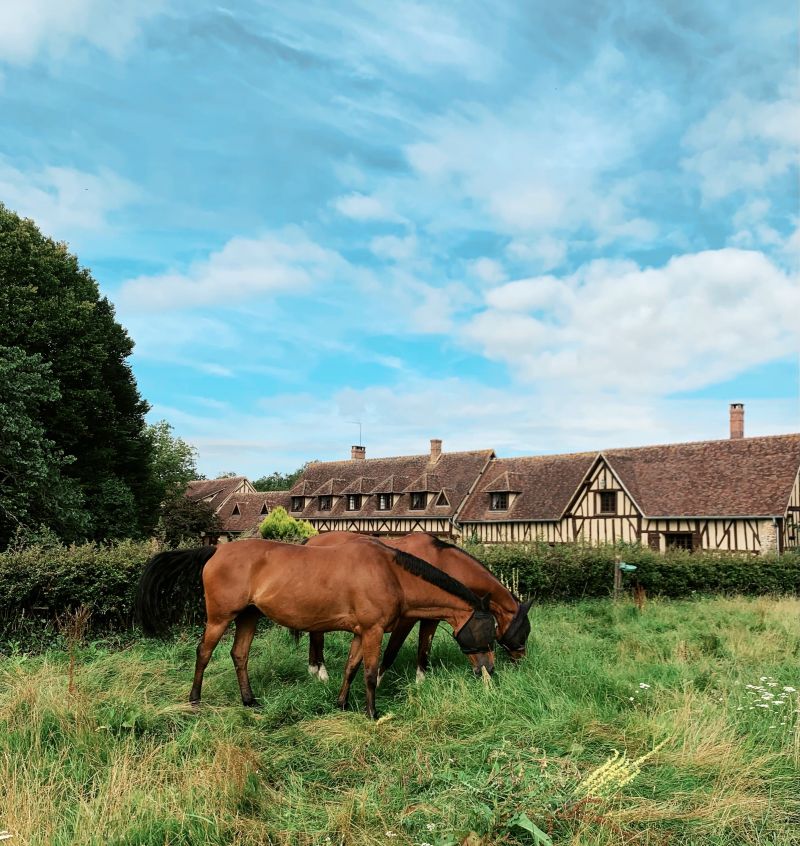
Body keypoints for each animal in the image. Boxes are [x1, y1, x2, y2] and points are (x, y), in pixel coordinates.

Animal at [138, 540, 500, 720]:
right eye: (488, 632)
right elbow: (370, 673)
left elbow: (351, 668)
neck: (390, 573)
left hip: (249, 616)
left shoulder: (360, 632)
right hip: (220, 617)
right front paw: (372, 713)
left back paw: (249, 700)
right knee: (204, 652)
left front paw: (341, 704)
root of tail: (217, 549)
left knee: (239, 655)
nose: (490, 670)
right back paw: (195, 700)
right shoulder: (372, 632)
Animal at [300, 536, 532, 688]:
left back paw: (312, 669)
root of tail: (311, 540)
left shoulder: (431, 618)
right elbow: (391, 651)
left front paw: (420, 681)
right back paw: (321, 673)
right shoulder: (405, 620)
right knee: (317, 637)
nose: (522, 660)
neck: (440, 562)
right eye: (524, 632)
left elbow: (424, 649)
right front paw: (378, 680)